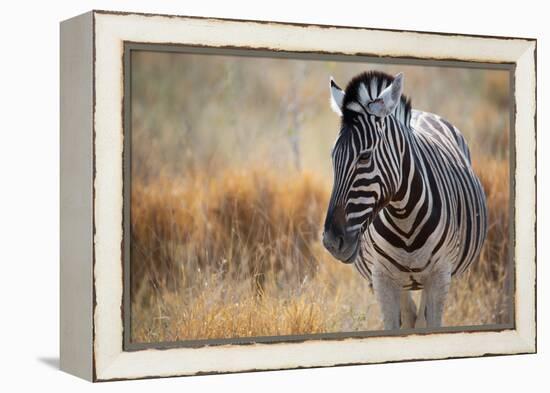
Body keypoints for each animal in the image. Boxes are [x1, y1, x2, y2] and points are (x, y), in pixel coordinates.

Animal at [326, 71, 490, 330]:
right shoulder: (382, 279)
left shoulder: (440, 276)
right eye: (333, 157)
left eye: (364, 156)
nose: (331, 241)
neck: (404, 217)